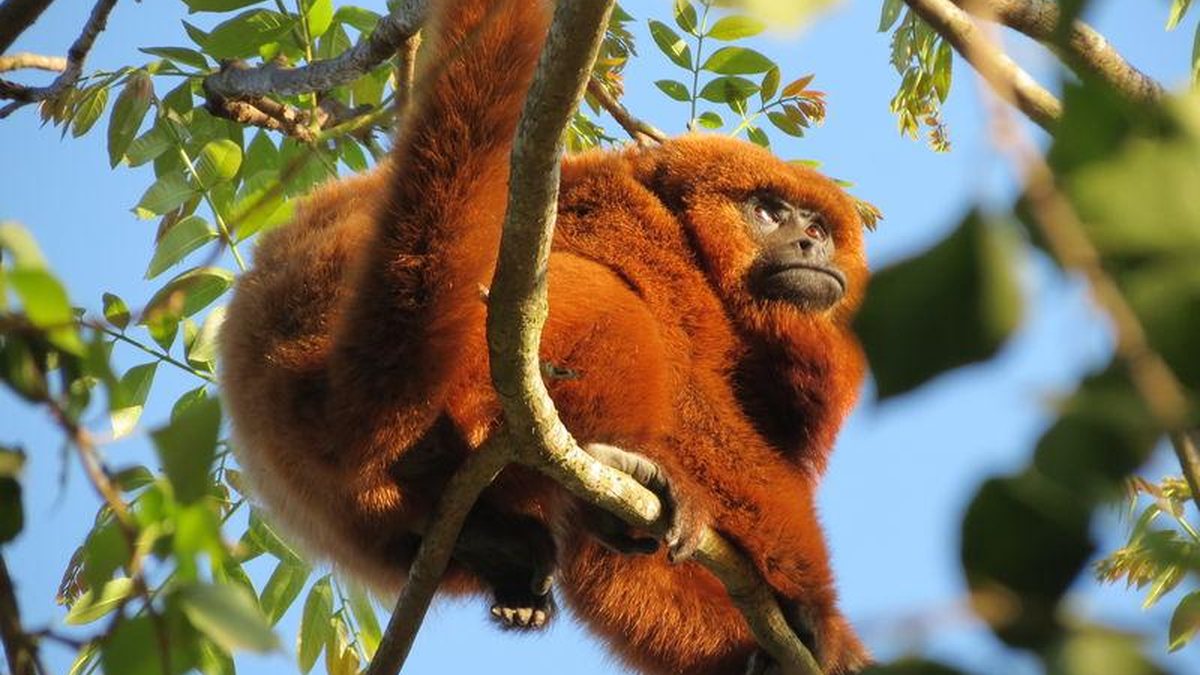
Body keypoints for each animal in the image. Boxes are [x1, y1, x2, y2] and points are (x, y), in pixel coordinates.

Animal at [218, 1, 873, 672]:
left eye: (820, 228)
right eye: (768, 211)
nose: (808, 244)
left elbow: (612, 574)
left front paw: (759, 646)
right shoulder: (645, 229)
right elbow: (698, 409)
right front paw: (814, 610)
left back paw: (500, 546)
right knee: (613, 306)